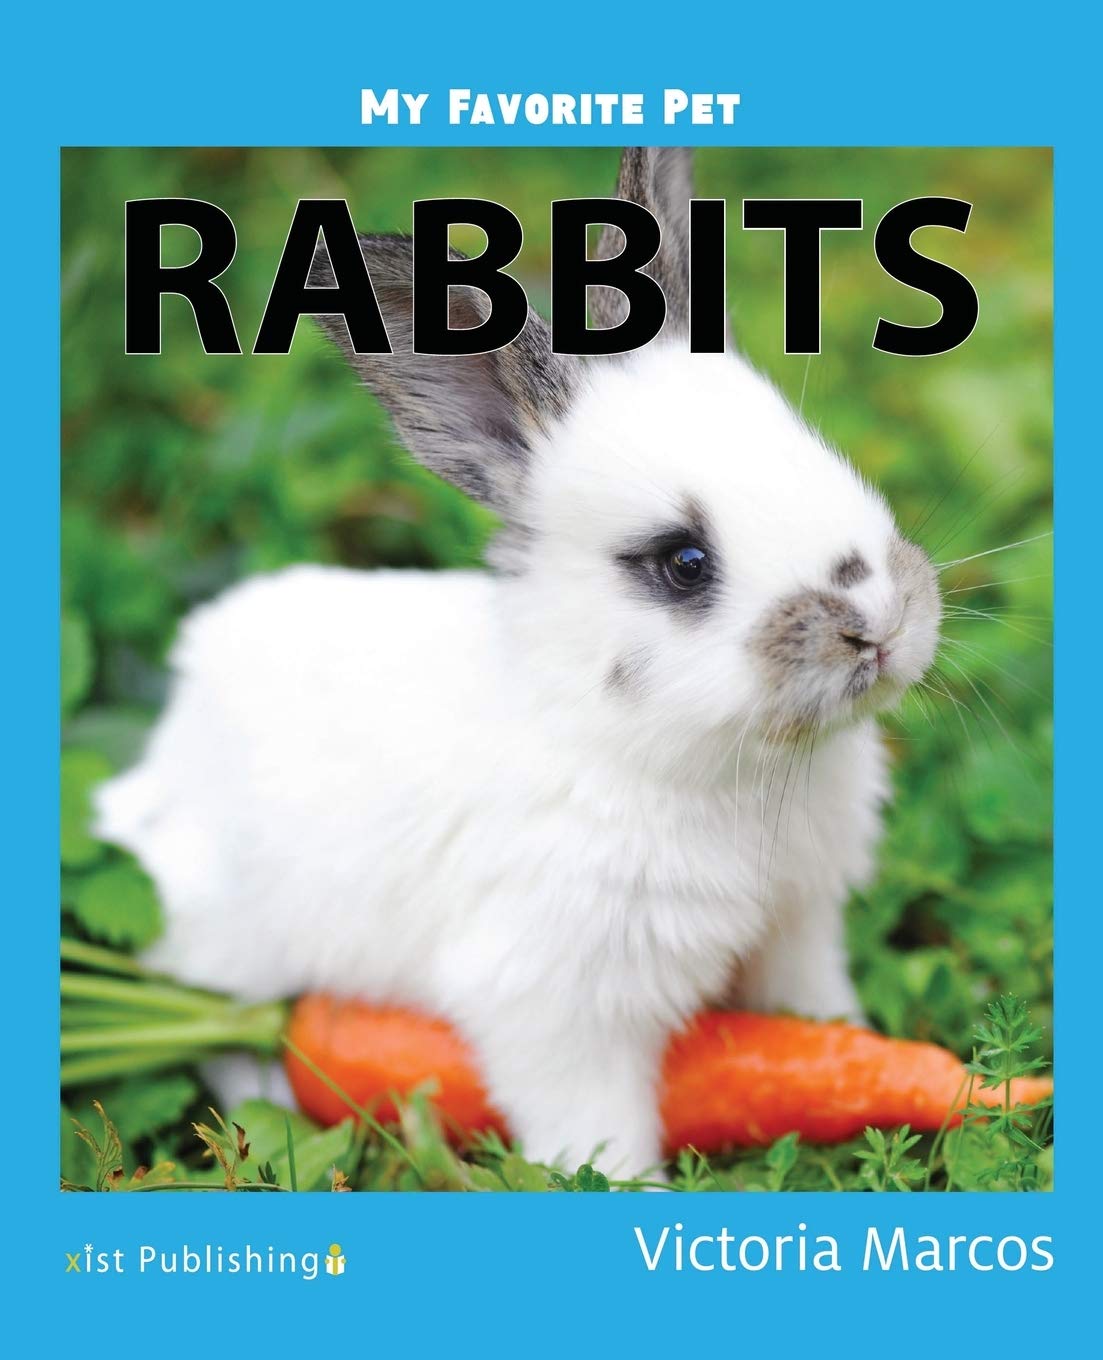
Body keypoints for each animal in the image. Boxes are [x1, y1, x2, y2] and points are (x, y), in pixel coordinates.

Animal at [95, 147, 941, 1177]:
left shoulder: (798, 924)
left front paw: (854, 1052)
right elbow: (594, 1123)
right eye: (683, 562)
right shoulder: (556, 1002)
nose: (879, 623)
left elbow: (814, 1017)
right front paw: (631, 1190)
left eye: (824, 460)